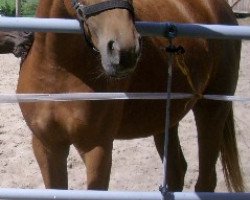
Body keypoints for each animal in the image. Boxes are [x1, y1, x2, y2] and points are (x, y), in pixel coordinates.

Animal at [16, 0, 243, 192]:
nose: (125, 52)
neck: (58, 71)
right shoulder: (46, 145)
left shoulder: (97, 148)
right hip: (165, 119)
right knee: (177, 171)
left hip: (212, 109)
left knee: (206, 180)